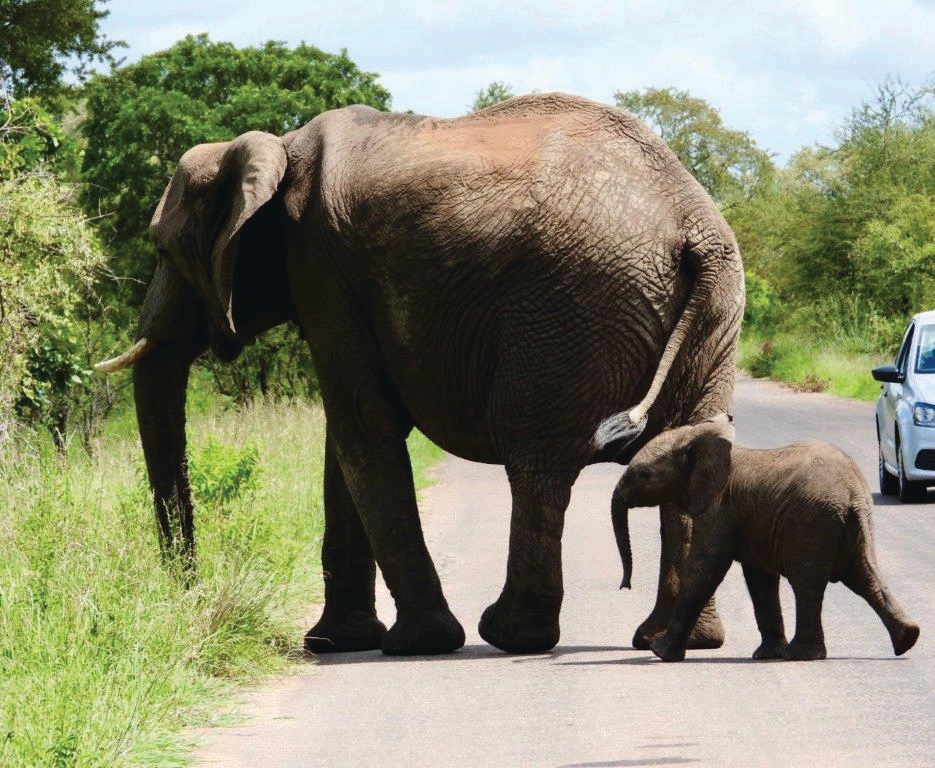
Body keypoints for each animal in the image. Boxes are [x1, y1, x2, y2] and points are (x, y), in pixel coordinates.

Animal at [95, 92, 745, 656]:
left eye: (162, 250)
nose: (190, 594)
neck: (275, 148)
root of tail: (693, 225)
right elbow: (344, 442)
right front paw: (334, 642)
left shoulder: (320, 267)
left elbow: (363, 426)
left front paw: (415, 643)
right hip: (712, 319)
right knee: (686, 457)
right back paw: (676, 640)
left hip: (570, 314)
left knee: (535, 461)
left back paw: (511, 635)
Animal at [611, 417, 921, 661]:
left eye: (645, 474)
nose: (625, 585)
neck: (698, 437)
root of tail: (854, 493)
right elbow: (759, 578)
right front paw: (766, 655)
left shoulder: (719, 509)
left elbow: (705, 568)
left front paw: (660, 652)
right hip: (850, 526)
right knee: (865, 578)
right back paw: (908, 639)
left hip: (811, 522)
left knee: (807, 584)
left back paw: (801, 655)